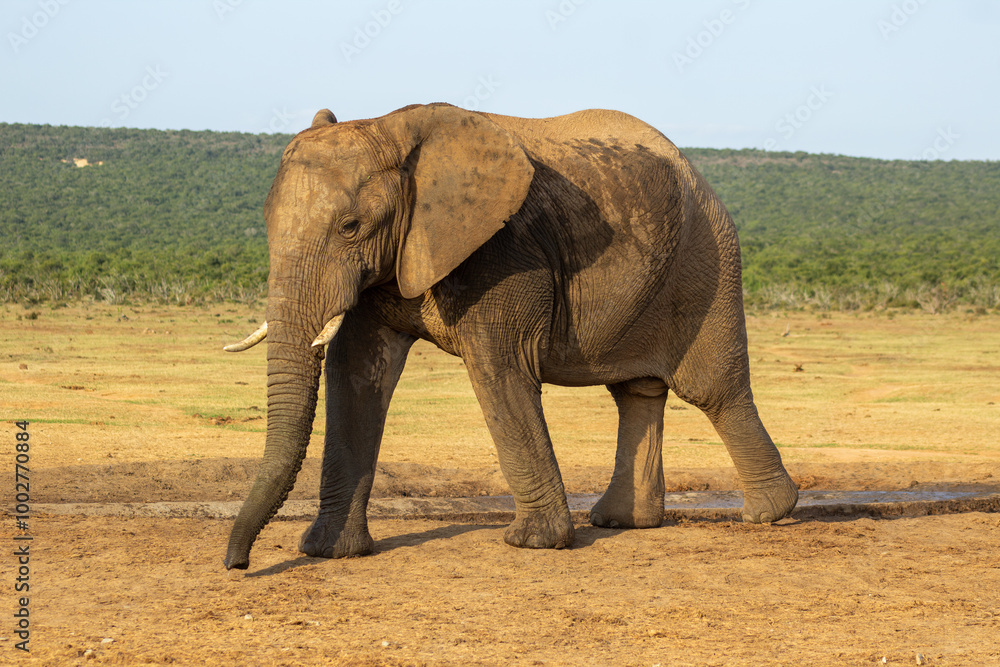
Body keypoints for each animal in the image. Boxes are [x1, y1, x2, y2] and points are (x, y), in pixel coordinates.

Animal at [222, 103, 798, 570]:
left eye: (350, 227)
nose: (238, 564)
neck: (392, 127)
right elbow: (357, 374)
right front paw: (328, 552)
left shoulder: (503, 251)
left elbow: (498, 368)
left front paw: (535, 543)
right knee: (637, 392)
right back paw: (622, 523)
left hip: (708, 260)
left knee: (712, 390)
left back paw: (768, 514)